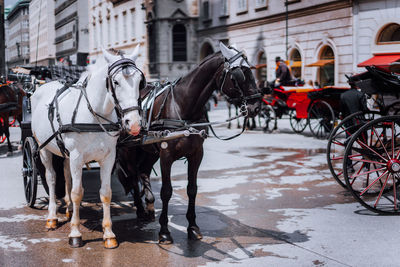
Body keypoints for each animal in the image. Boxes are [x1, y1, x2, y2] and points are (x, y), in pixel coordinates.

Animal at [31, 46, 144, 249]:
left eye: (140, 82)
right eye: (115, 82)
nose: (134, 124)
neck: (94, 114)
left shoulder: (108, 157)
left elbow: (105, 193)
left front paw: (108, 234)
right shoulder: (77, 156)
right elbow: (77, 193)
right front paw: (75, 233)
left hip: (66, 154)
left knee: (66, 174)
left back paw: (68, 209)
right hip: (43, 149)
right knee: (51, 178)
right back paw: (52, 217)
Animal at [117, 43, 260, 245]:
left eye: (250, 70)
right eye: (239, 74)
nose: (256, 106)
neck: (183, 106)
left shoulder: (196, 154)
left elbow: (192, 189)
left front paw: (192, 227)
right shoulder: (166, 156)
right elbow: (166, 191)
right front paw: (164, 231)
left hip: (150, 151)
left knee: (143, 172)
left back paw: (149, 205)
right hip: (130, 150)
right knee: (131, 175)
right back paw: (140, 208)